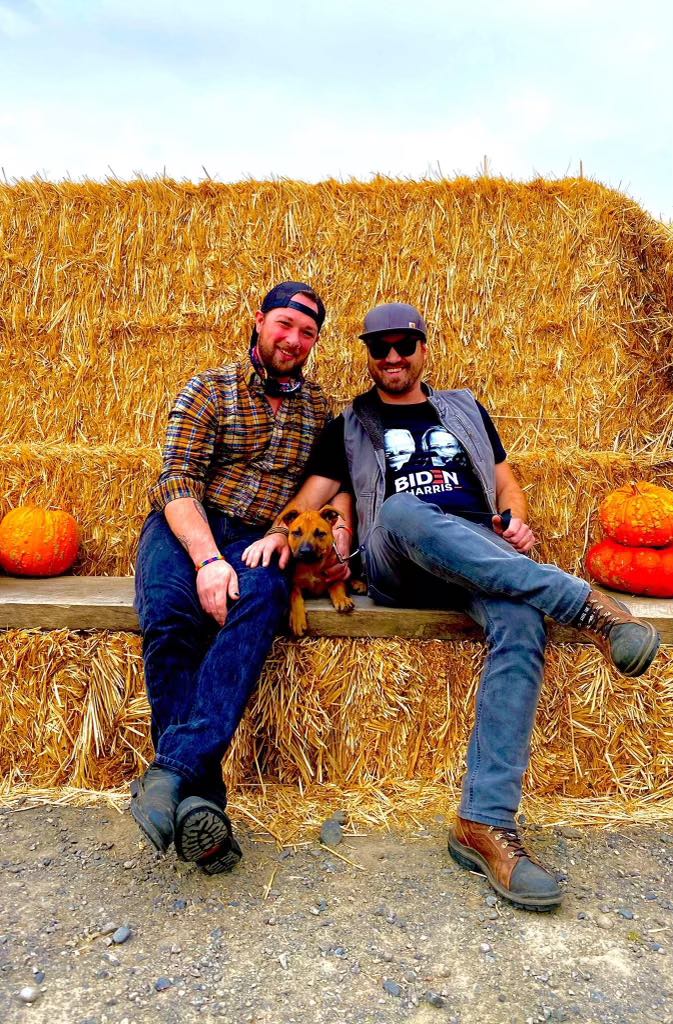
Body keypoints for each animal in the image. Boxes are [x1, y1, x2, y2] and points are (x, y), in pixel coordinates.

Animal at [276, 501, 364, 634]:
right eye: (297, 533)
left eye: (320, 533)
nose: (305, 551)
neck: (312, 566)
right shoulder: (294, 583)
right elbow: (294, 595)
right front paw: (297, 617)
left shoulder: (336, 573)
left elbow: (337, 585)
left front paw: (342, 599)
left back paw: (359, 583)